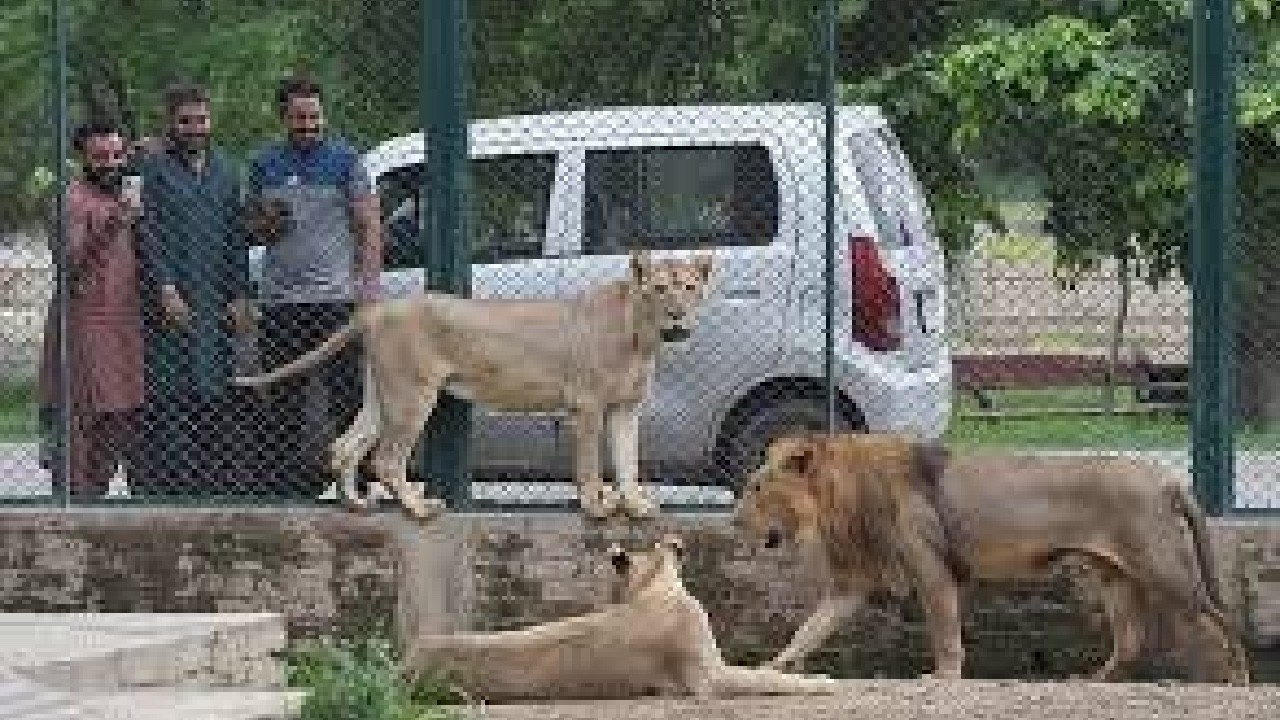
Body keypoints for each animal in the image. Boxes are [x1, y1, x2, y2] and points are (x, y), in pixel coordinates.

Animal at [232, 251, 713, 521]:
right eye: (659, 289)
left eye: (690, 288)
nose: (677, 315)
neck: (642, 337)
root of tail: (377, 310)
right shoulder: (587, 406)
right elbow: (592, 467)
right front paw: (597, 508)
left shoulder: (625, 409)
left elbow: (629, 463)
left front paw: (636, 506)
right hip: (413, 395)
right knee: (386, 460)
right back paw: (419, 508)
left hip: (382, 395)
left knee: (345, 446)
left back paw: (356, 505)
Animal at [732, 433, 1251, 684]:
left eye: (755, 487)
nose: (735, 522)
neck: (838, 501)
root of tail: (1167, 478)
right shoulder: (850, 585)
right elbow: (807, 630)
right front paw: (770, 669)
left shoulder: (933, 571)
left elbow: (945, 633)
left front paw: (942, 677)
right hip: (1115, 576)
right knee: (1131, 641)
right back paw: (1090, 679)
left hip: (1161, 566)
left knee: (1220, 619)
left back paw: (1239, 680)